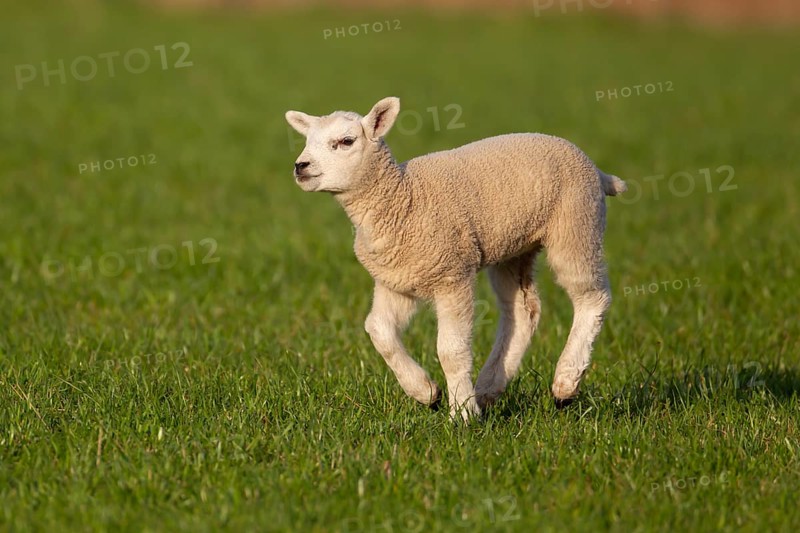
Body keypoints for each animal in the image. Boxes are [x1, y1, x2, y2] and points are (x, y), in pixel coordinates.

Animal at [285, 97, 626, 421]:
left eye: (346, 141)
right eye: (307, 140)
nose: (300, 166)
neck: (401, 198)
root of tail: (599, 173)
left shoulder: (452, 274)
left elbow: (451, 350)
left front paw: (462, 413)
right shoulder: (396, 281)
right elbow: (378, 330)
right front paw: (426, 392)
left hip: (577, 224)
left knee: (592, 296)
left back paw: (565, 383)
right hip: (515, 248)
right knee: (522, 310)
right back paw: (488, 388)